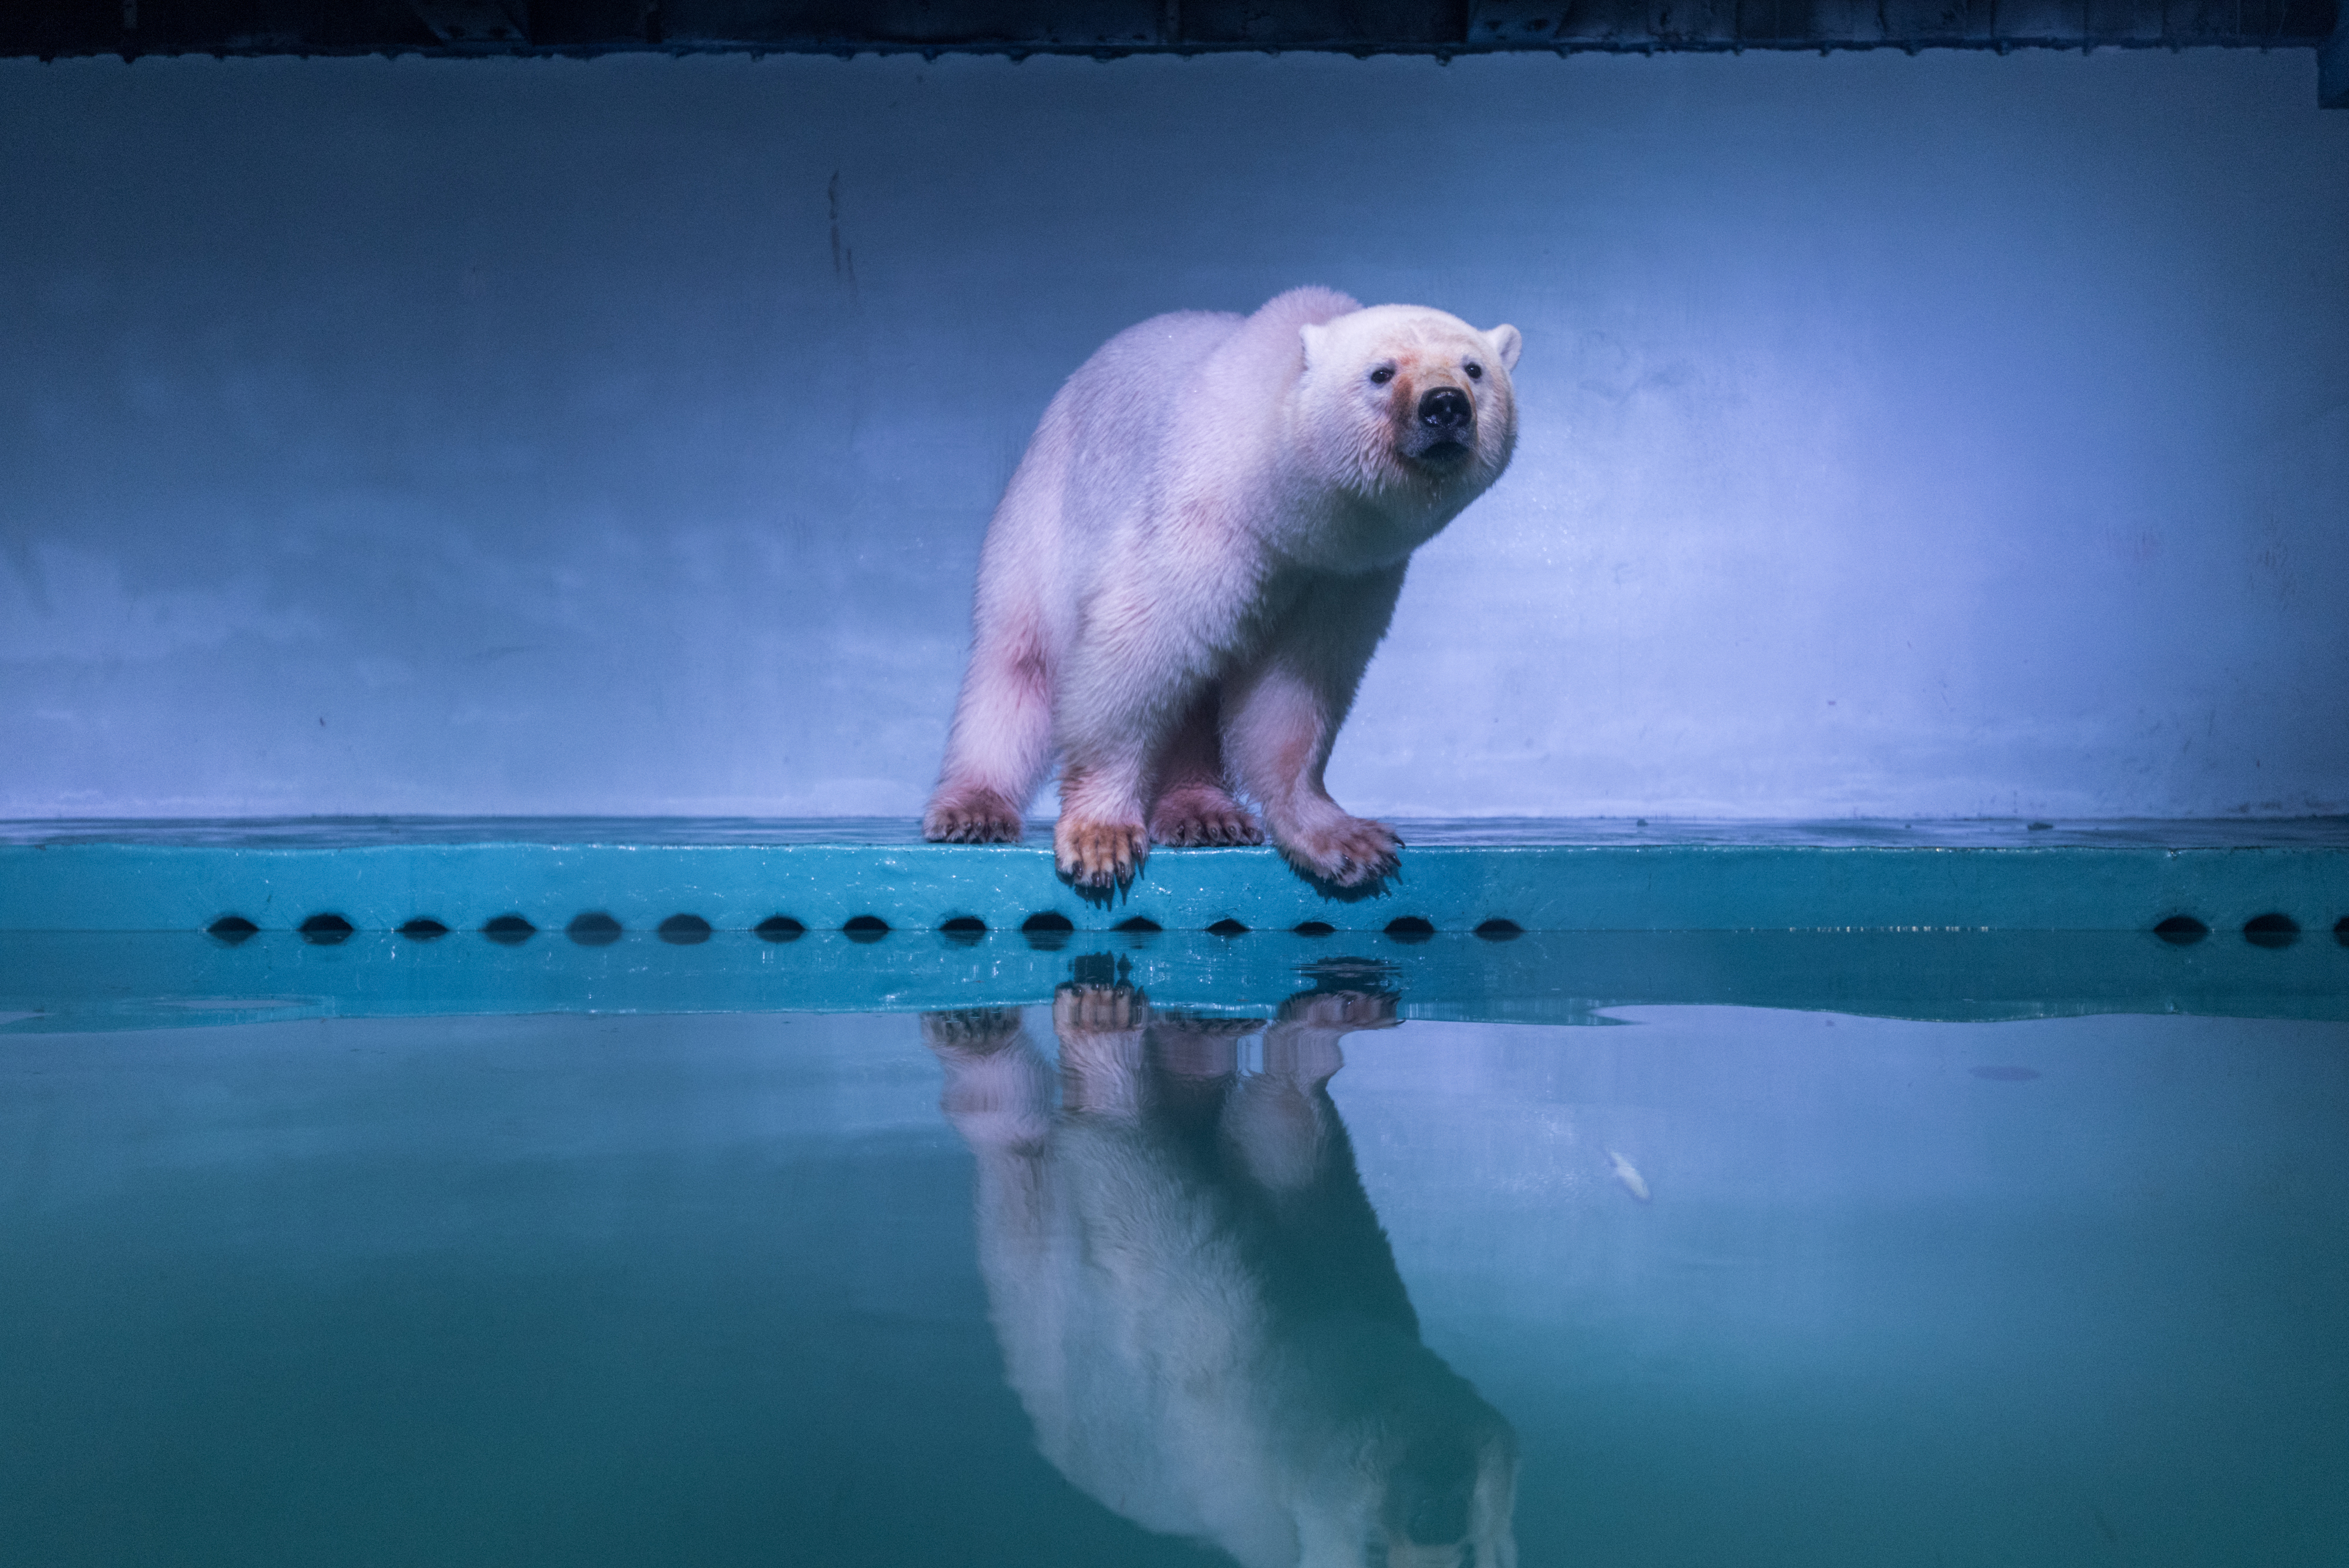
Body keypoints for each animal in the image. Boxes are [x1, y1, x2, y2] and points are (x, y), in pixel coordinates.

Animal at [922, 287, 1522, 889]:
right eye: (1381, 372)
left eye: (1474, 369)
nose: (1445, 405)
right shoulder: (1207, 517)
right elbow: (1135, 650)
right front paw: (1101, 836)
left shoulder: (1342, 575)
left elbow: (1294, 691)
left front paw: (1343, 840)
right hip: (1040, 522)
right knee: (1018, 662)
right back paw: (973, 807)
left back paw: (1203, 812)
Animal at [922, 987, 1520, 1568]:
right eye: (1373, 1549)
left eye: (1474, 1551)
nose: (1435, 1516)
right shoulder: (1284, 1320)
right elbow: (1277, 1140)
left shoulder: (1240, 1360)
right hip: (1037, 1308)